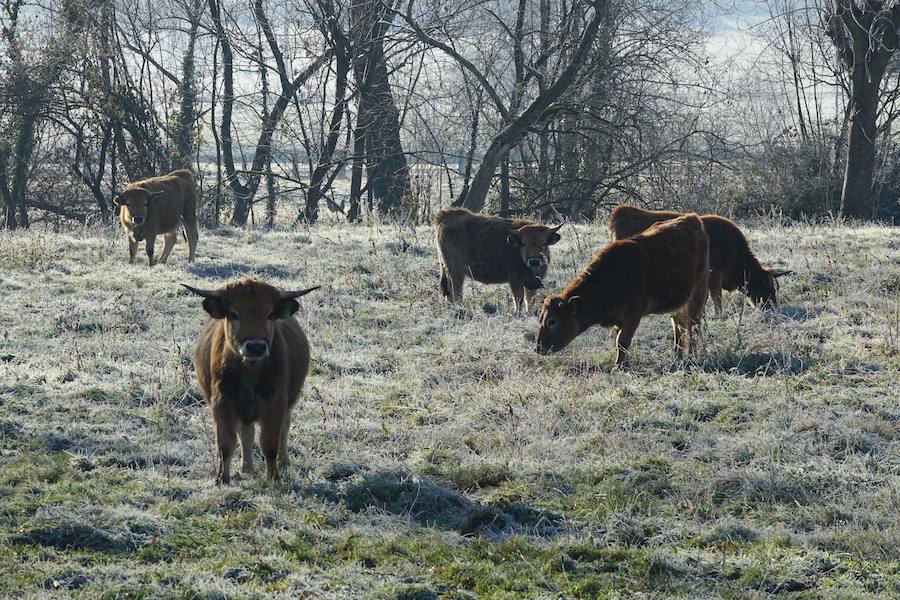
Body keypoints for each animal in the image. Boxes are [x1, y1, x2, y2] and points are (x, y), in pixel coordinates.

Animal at [183, 278, 320, 486]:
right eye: (233, 314)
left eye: (270, 314)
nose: (255, 347)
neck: (249, 372)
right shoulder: (222, 402)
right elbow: (226, 445)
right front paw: (222, 480)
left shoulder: (276, 403)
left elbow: (269, 444)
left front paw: (273, 478)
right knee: (246, 433)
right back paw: (246, 468)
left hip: (289, 402)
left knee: (284, 427)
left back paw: (283, 462)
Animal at [430, 207, 564, 312]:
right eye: (523, 243)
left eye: (544, 243)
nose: (534, 261)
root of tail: (445, 217)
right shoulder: (515, 280)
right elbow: (519, 299)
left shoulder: (533, 284)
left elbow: (529, 300)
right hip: (456, 270)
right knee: (455, 290)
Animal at [536, 213, 712, 368]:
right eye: (540, 318)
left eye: (552, 321)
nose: (538, 348)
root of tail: (691, 218)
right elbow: (620, 342)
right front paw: (624, 364)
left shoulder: (633, 315)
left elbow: (622, 341)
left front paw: (618, 367)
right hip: (678, 303)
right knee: (678, 327)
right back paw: (678, 357)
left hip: (698, 293)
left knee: (693, 326)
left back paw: (691, 357)